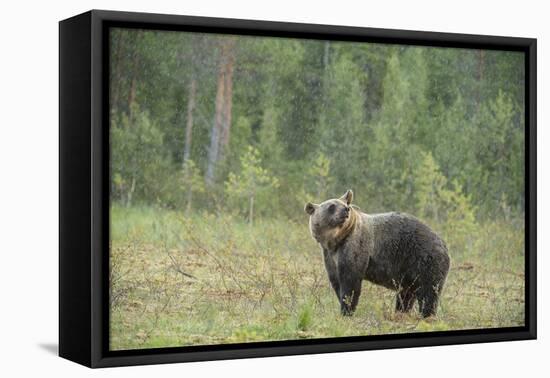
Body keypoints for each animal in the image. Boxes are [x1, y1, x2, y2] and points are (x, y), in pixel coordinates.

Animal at [306, 190, 452, 318]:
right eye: (331, 206)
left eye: (345, 204)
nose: (345, 210)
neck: (337, 239)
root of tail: (443, 244)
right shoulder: (330, 256)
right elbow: (336, 281)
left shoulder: (355, 246)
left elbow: (350, 281)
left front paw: (346, 310)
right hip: (409, 272)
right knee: (406, 294)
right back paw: (401, 312)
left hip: (424, 259)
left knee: (429, 291)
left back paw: (426, 315)